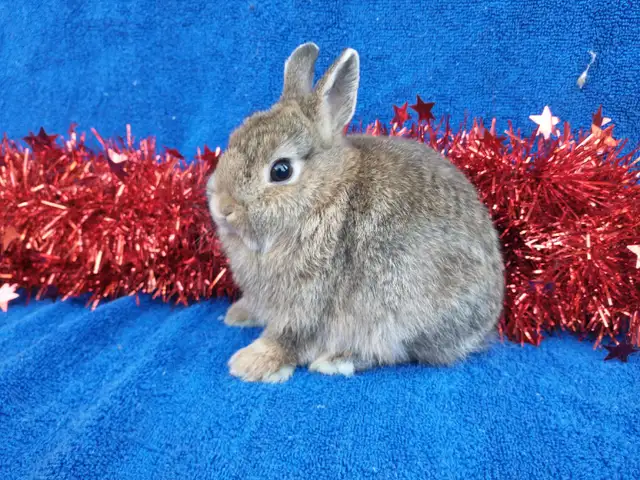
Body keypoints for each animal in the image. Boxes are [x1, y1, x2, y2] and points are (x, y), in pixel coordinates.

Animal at [206, 43, 504, 383]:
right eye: (233, 140)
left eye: (281, 170)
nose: (223, 207)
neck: (324, 196)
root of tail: (484, 323)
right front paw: (238, 313)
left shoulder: (308, 298)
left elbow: (288, 337)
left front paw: (250, 362)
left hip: (395, 316)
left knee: (393, 351)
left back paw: (336, 360)